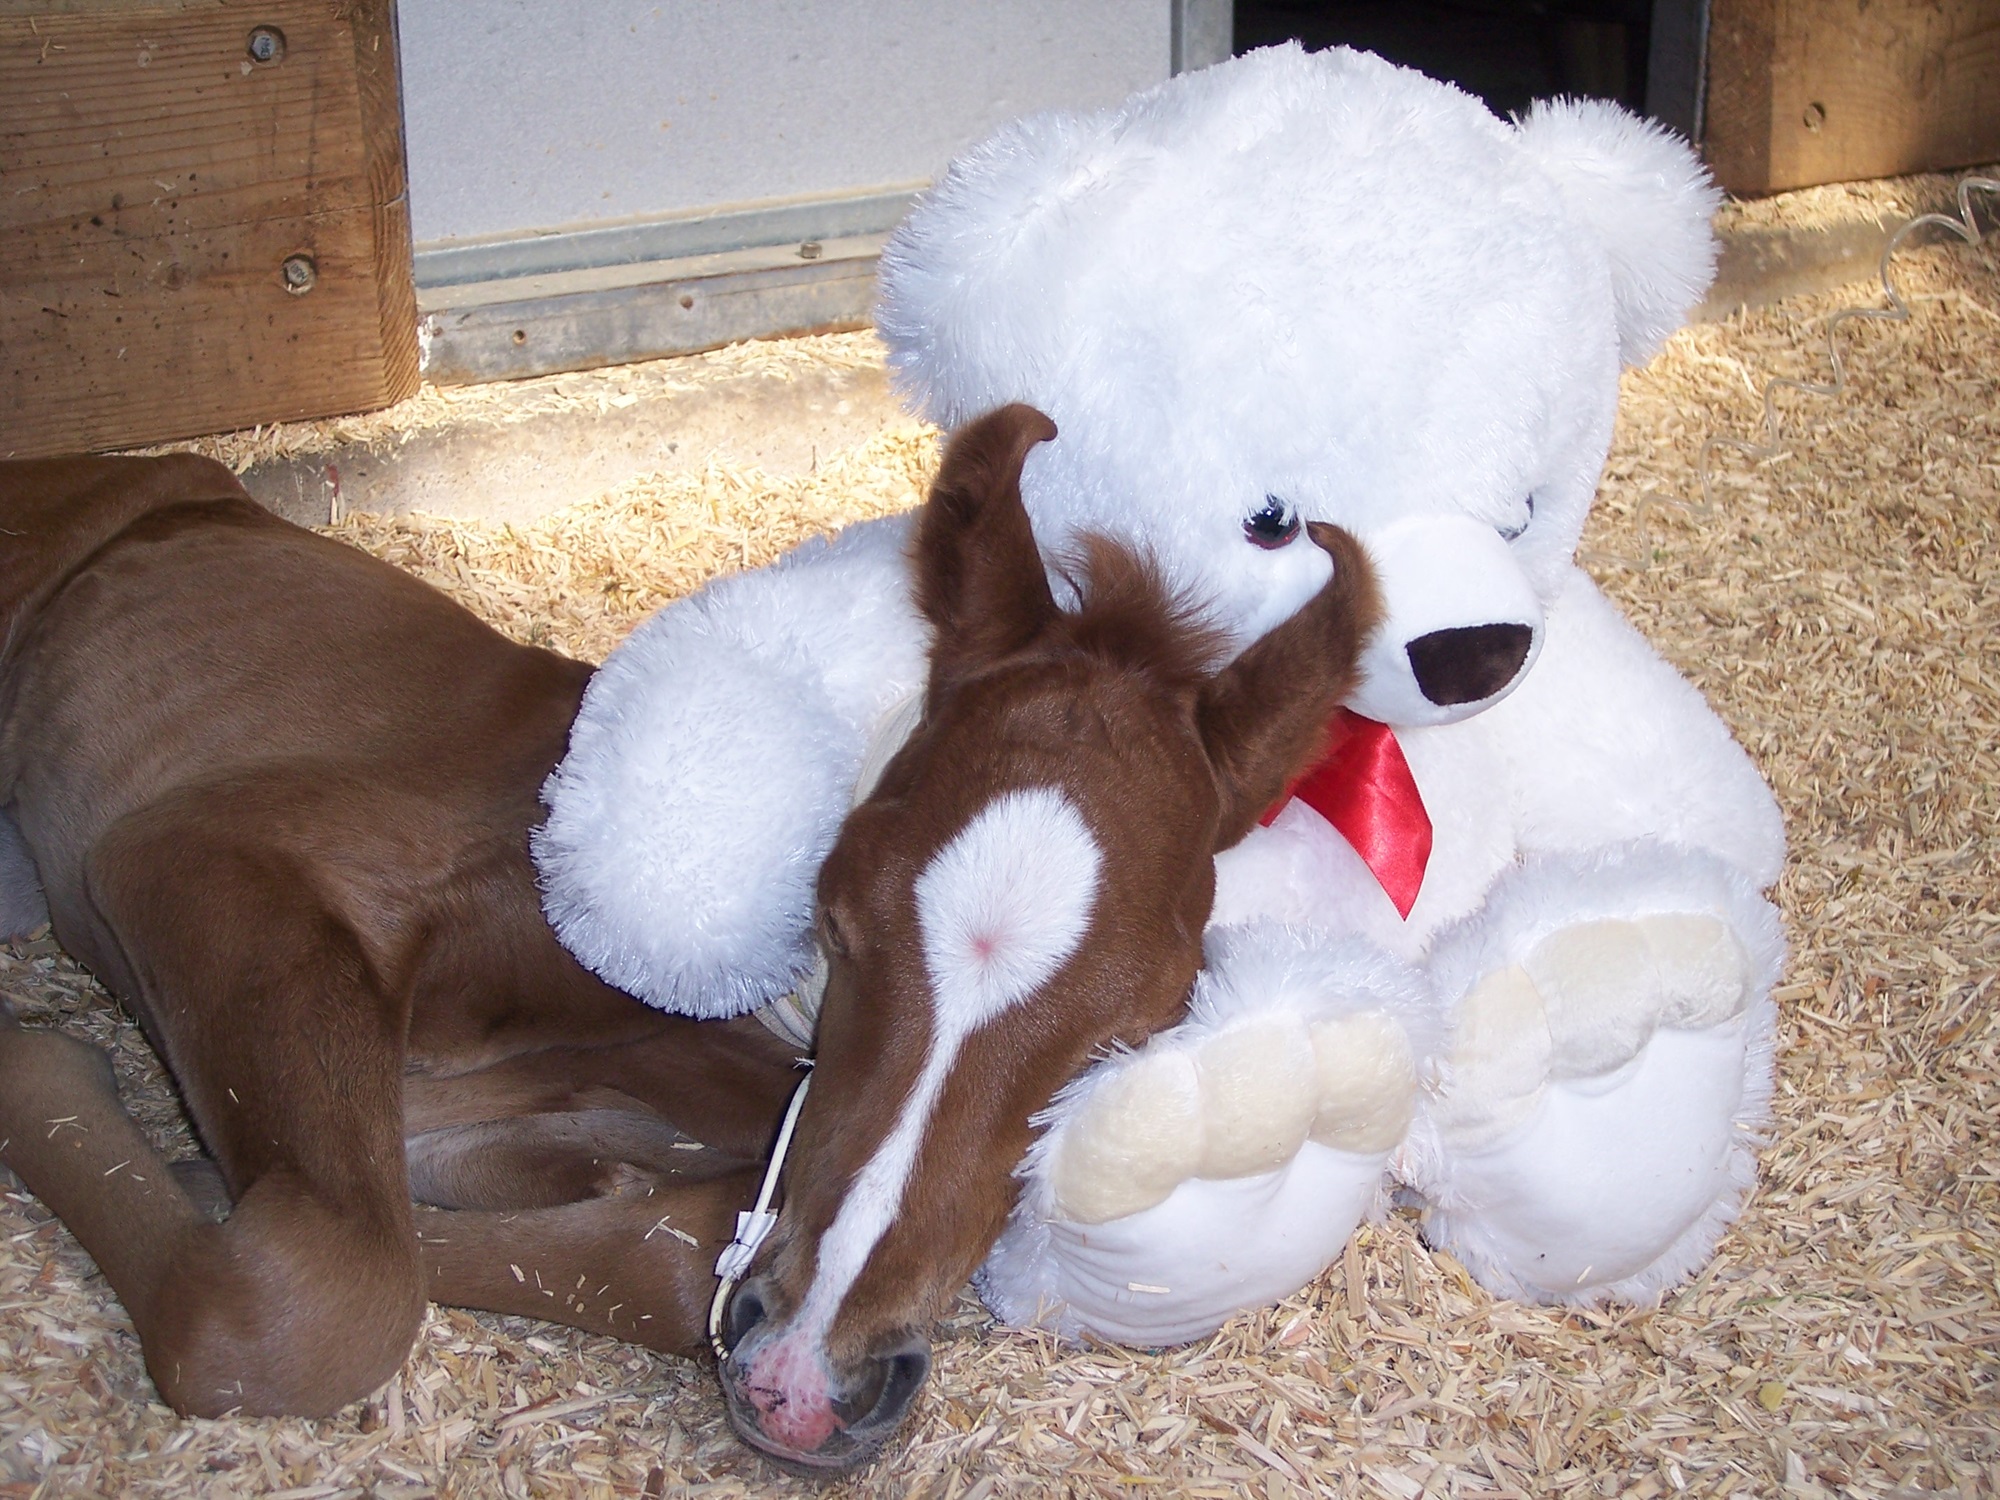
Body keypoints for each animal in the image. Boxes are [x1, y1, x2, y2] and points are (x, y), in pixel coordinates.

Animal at [0, 403, 1376, 1473]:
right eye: (835, 913)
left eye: (1128, 1030)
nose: (807, 1385)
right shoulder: (198, 854)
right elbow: (320, 1297)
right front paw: (77, 1083)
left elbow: (657, 1248)